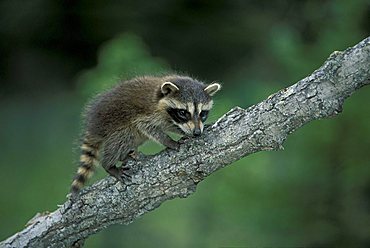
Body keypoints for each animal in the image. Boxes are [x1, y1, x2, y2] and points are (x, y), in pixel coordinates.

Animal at [71, 74, 221, 195]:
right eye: (183, 112)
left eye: (202, 113)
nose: (197, 133)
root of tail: (93, 127)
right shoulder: (145, 114)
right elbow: (149, 128)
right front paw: (170, 142)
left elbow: (169, 125)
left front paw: (186, 131)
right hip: (116, 125)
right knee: (122, 138)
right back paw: (109, 164)